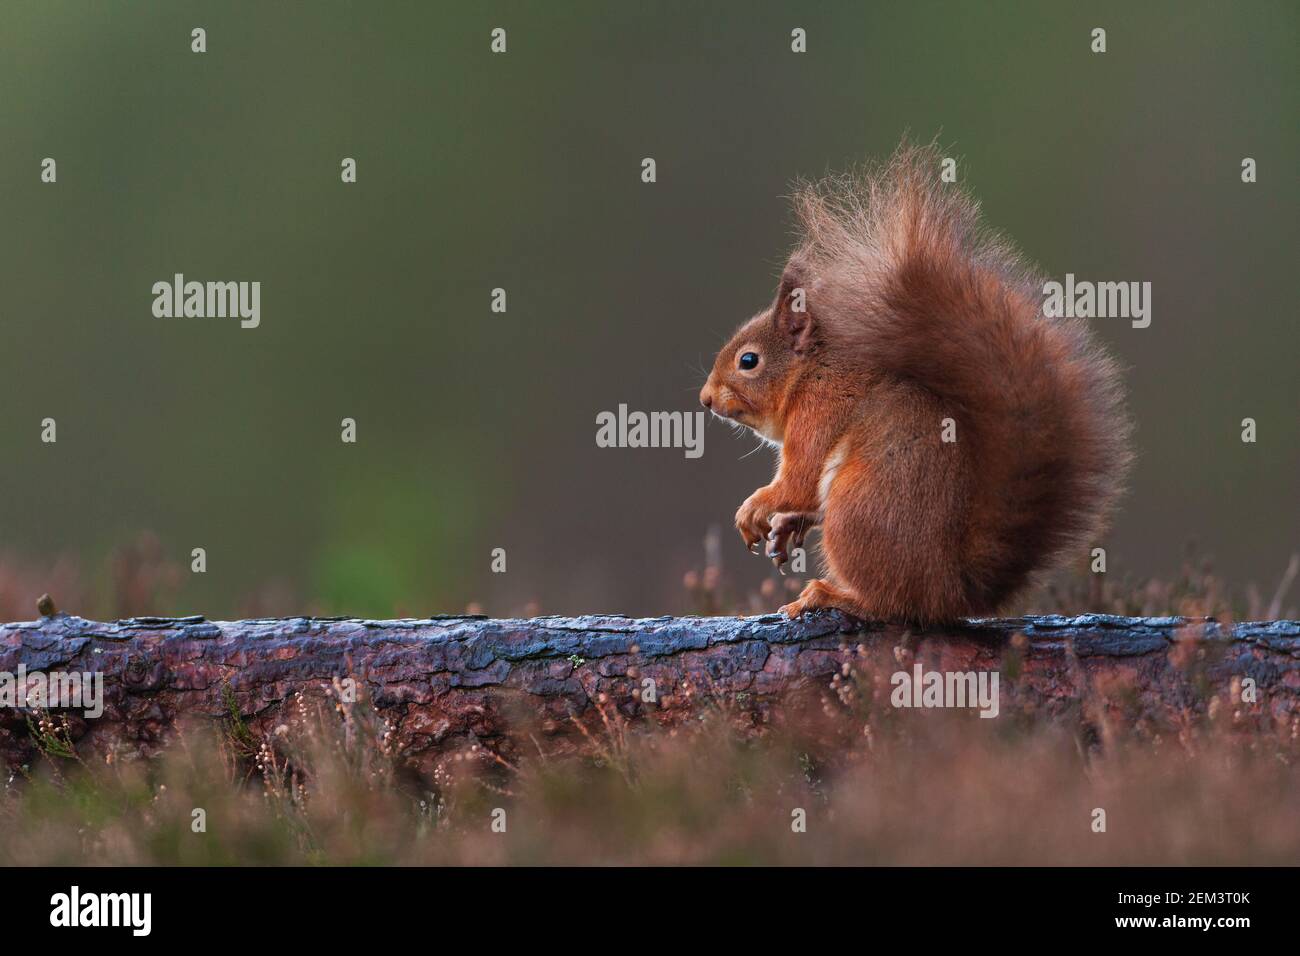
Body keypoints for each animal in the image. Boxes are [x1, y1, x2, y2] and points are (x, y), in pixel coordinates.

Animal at [696, 140, 1133, 621]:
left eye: (748, 360)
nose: (705, 399)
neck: (810, 375)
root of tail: (953, 590)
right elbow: (804, 498)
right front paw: (784, 527)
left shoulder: (820, 413)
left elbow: (799, 482)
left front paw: (754, 509)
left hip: (856, 512)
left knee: (891, 603)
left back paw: (830, 595)